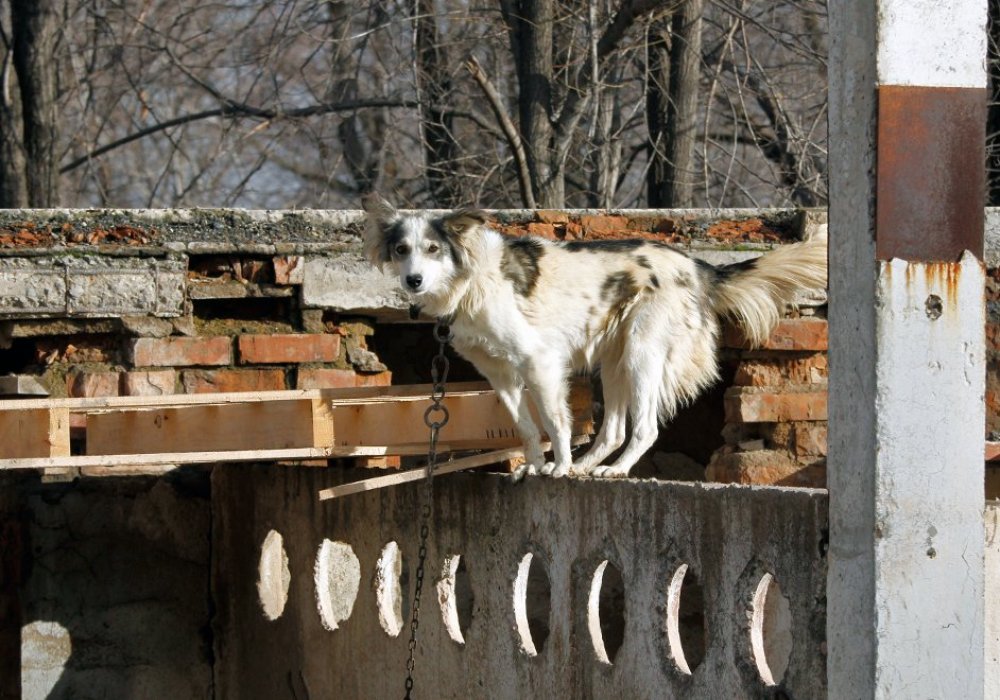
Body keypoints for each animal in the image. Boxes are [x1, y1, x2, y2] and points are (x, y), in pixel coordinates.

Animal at [362, 197, 828, 482]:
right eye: (402, 250)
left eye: (434, 248)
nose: (413, 280)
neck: (473, 280)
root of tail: (697, 266)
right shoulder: (500, 375)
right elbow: (526, 427)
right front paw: (535, 467)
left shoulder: (540, 362)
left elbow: (556, 424)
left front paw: (557, 467)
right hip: (614, 362)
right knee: (612, 432)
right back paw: (588, 466)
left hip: (641, 356)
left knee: (644, 430)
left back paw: (612, 470)